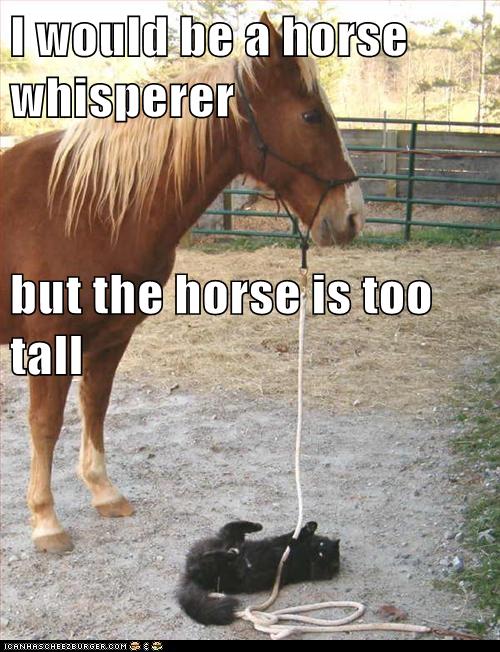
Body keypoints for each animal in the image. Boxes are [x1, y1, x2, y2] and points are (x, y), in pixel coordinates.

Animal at [0, 14, 365, 553]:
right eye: (310, 117)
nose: (352, 217)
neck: (86, 207)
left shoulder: (112, 335)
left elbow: (96, 406)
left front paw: (103, 492)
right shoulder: (51, 340)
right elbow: (46, 424)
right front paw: (46, 520)